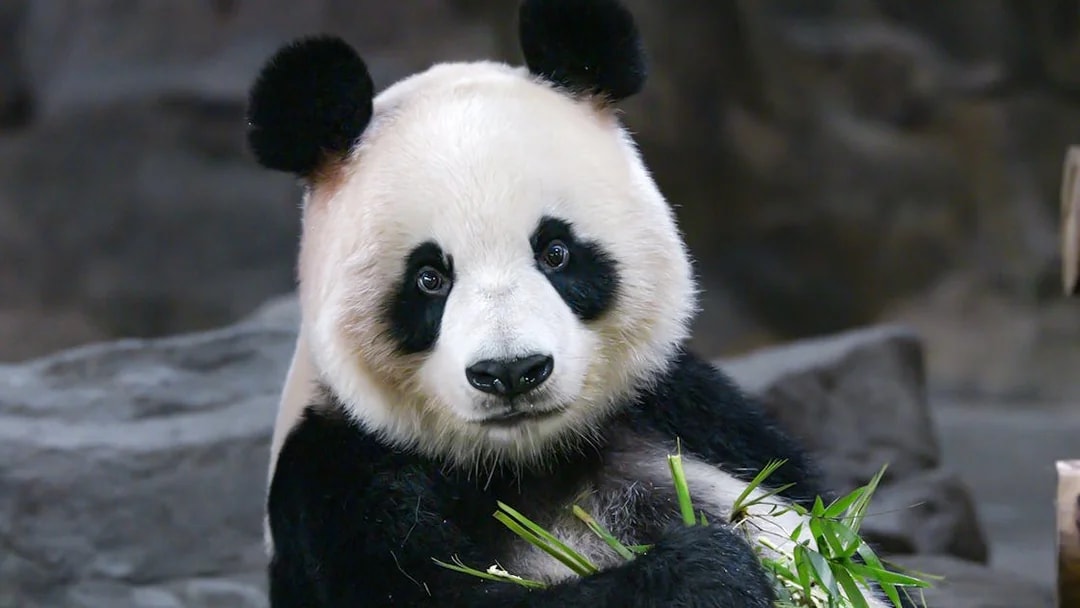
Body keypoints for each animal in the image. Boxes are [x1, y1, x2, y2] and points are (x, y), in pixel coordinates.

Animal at [249, 1, 913, 606]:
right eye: (430, 278)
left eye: (556, 252)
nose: (512, 371)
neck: (528, 462)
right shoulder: (339, 483)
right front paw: (707, 572)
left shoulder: (694, 414)